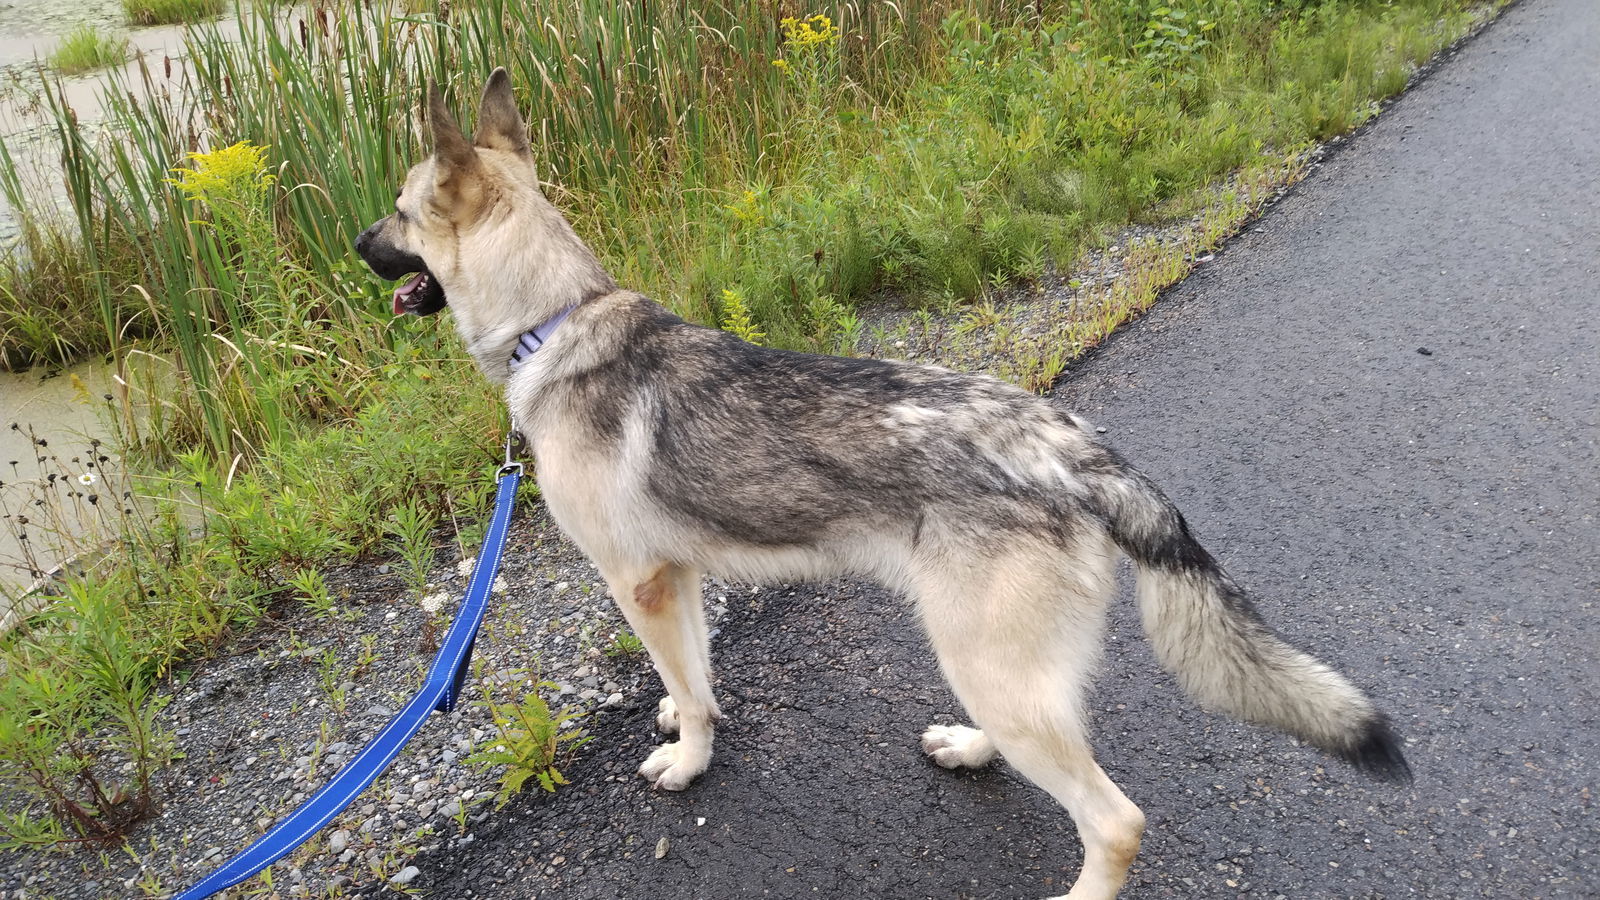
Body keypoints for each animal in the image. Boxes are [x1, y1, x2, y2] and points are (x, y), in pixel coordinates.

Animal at [353, 70, 1414, 896]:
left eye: (400, 210)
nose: (356, 245)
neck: (555, 319)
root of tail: (1076, 450)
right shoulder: (676, 576)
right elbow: (693, 672)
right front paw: (681, 712)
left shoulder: (638, 580)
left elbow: (691, 692)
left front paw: (688, 760)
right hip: (999, 665)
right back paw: (972, 749)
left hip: (985, 657)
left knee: (1115, 822)